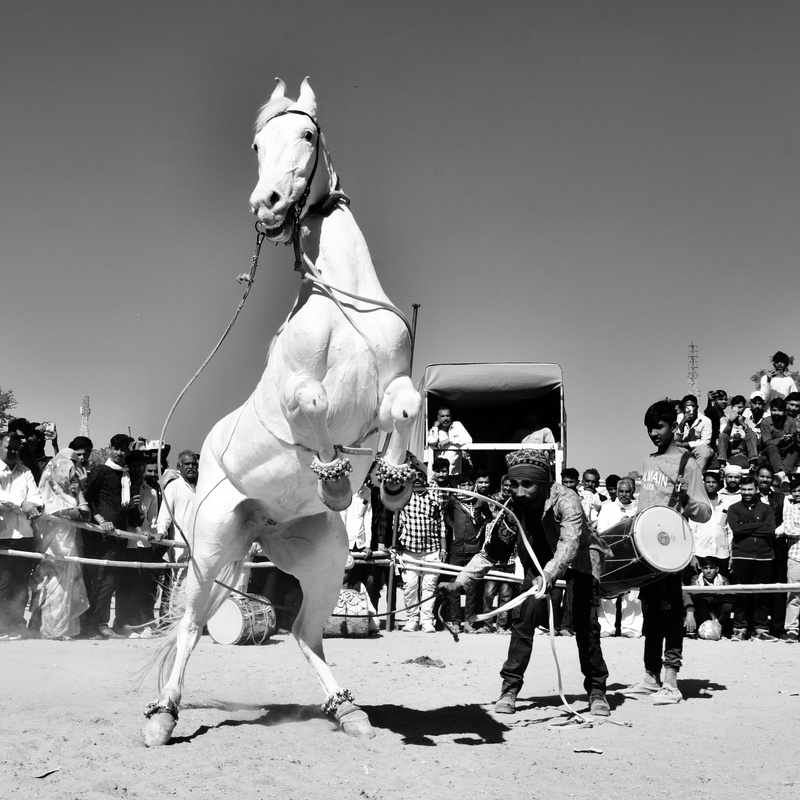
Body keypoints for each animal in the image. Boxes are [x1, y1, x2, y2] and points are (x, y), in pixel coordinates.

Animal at [141, 78, 422, 746]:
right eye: (255, 143)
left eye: (308, 133)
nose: (266, 204)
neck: (343, 300)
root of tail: (261, 526)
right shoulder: (299, 388)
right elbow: (311, 403)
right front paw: (336, 478)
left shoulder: (393, 379)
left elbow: (405, 404)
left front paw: (393, 481)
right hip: (211, 542)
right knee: (191, 626)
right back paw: (163, 716)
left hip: (320, 558)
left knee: (303, 632)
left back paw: (348, 710)